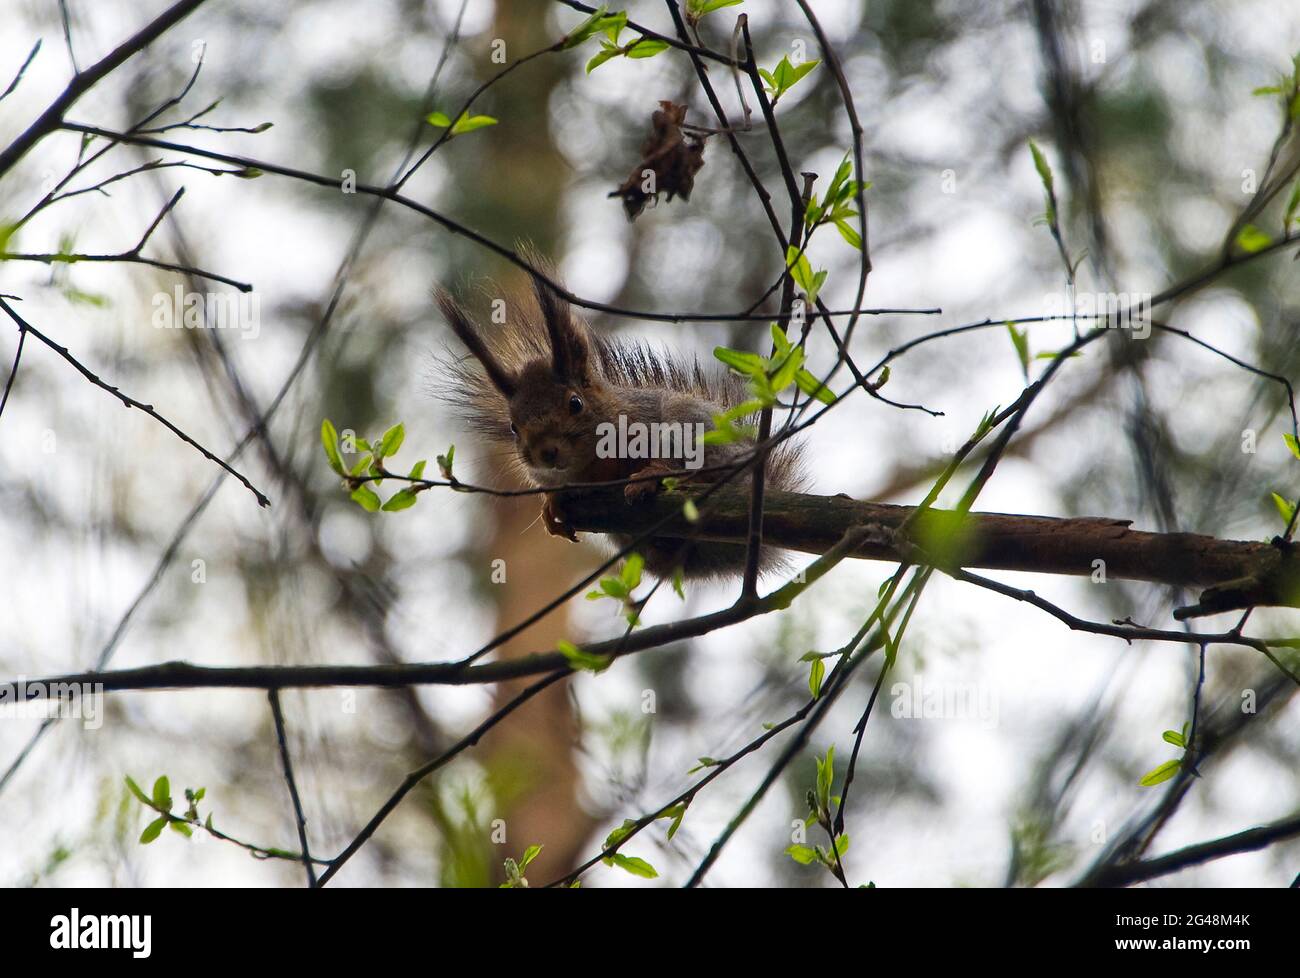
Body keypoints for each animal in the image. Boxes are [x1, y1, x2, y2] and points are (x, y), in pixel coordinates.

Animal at [434, 265, 806, 581]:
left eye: (575, 403)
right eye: (513, 426)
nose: (545, 453)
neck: (591, 466)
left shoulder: (650, 424)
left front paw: (651, 474)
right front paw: (552, 503)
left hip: (702, 434)